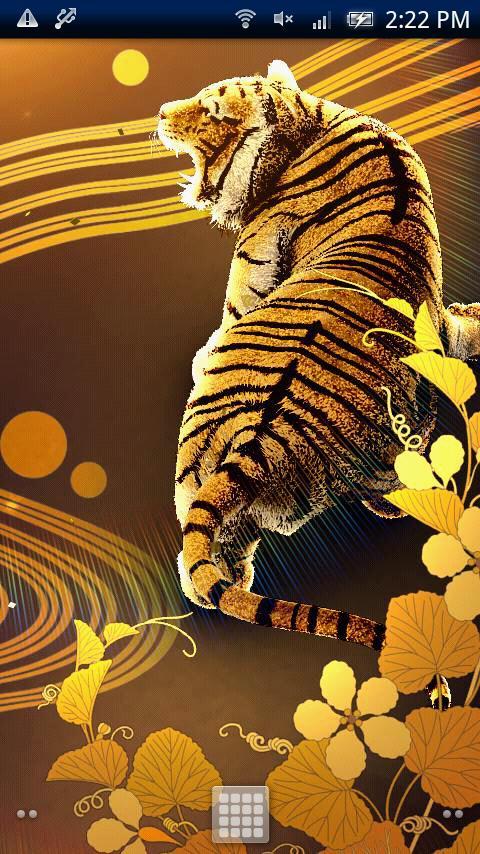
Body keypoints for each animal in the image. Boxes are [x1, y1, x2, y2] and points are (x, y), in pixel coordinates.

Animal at [157, 60, 480, 652]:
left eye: (211, 109)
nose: (163, 112)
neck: (308, 115)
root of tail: (258, 445)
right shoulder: (439, 321)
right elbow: (460, 330)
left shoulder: (256, 250)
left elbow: (234, 305)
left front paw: (201, 353)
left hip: (194, 473)